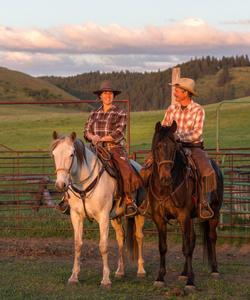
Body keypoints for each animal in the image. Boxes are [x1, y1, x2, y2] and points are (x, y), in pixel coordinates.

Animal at [50, 132, 146, 288]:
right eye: (54, 154)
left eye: (71, 154)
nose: (60, 184)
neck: (84, 184)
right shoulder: (76, 216)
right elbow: (77, 244)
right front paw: (74, 277)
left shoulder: (103, 217)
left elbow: (103, 246)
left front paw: (105, 280)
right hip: (116, 216)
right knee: (120, 238)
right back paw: (120, 271)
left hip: (140, 213)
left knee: (139, 236)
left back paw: (141, 270)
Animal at [147, 120, 224, 292]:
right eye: (157, 147)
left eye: (174, 148)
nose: (165, 178)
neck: (166, 189)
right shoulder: (159, 219)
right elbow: (163, 247)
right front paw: (160, 278)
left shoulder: (183, 216)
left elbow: (187, 248)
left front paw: (190, 282)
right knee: (193, 240)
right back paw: (183, 273)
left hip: (214, 213)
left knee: (211, 237)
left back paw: (215, 270)